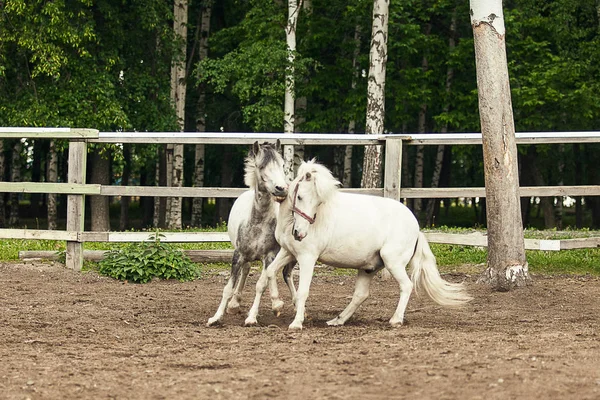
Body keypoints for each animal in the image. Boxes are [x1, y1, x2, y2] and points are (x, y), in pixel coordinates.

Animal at [207, 140, 296, 324]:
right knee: (247, 270)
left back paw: (283, 303)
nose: (281, 188)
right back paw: (235, 304)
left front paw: (252, 317)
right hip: (247, 256)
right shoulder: (238, 255)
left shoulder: (269, 255)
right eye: (261, 166)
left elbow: (261, 284)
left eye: (282, 165)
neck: (257, 222)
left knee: (284, 274)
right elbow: (228, 287)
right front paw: (216, 317)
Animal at [245, 161, 474, 330]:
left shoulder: (307, 258)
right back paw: (337, 320)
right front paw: (258, 315)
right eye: (299, 197)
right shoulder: (287, 252)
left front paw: (296, 323)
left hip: (393, 261)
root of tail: (416, 227)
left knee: (406, 286)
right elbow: (264, 278)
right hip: (368, 268)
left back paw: (395, 320)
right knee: (360, 295)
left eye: (318, 202)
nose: (300, 234)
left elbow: (303, 291)